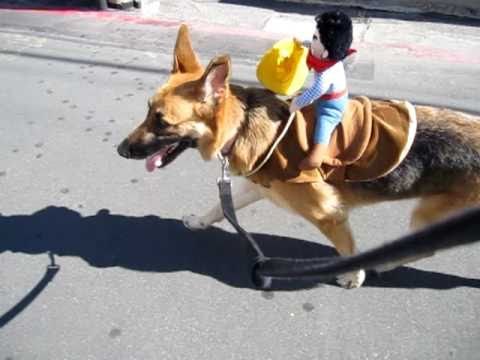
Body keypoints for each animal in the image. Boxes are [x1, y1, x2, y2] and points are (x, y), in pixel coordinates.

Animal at [117, 25, 480, 288]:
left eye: (162, 122)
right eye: (147, 111)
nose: (120, 150)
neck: (241, 124)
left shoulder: (327, 213)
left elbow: (347, 250)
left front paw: (354, 275)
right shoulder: (257, 188)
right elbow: (218, 208)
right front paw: (199, 221)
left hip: (426, 215)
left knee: (424, 247)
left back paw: (382, 261)